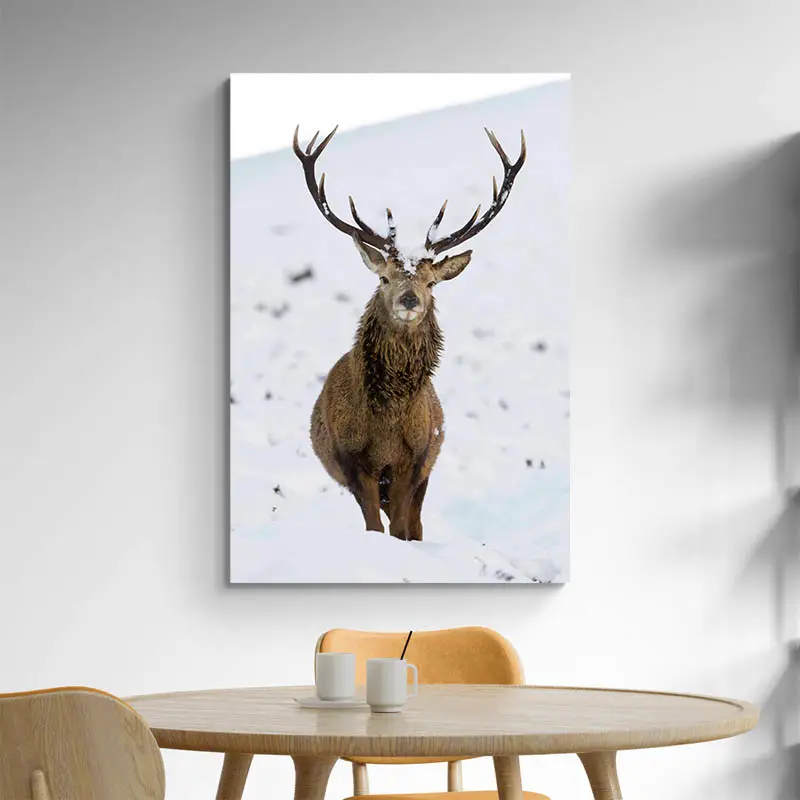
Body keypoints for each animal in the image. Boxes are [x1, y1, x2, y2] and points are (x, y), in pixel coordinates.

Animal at [293, 125, 526, 541]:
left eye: (432, 283)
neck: (387, 424)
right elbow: (374, 526)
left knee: (416, 523)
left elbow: (402, 527)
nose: (409, 299)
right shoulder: (353, 461)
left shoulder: (415, 461)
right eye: (384, 277)